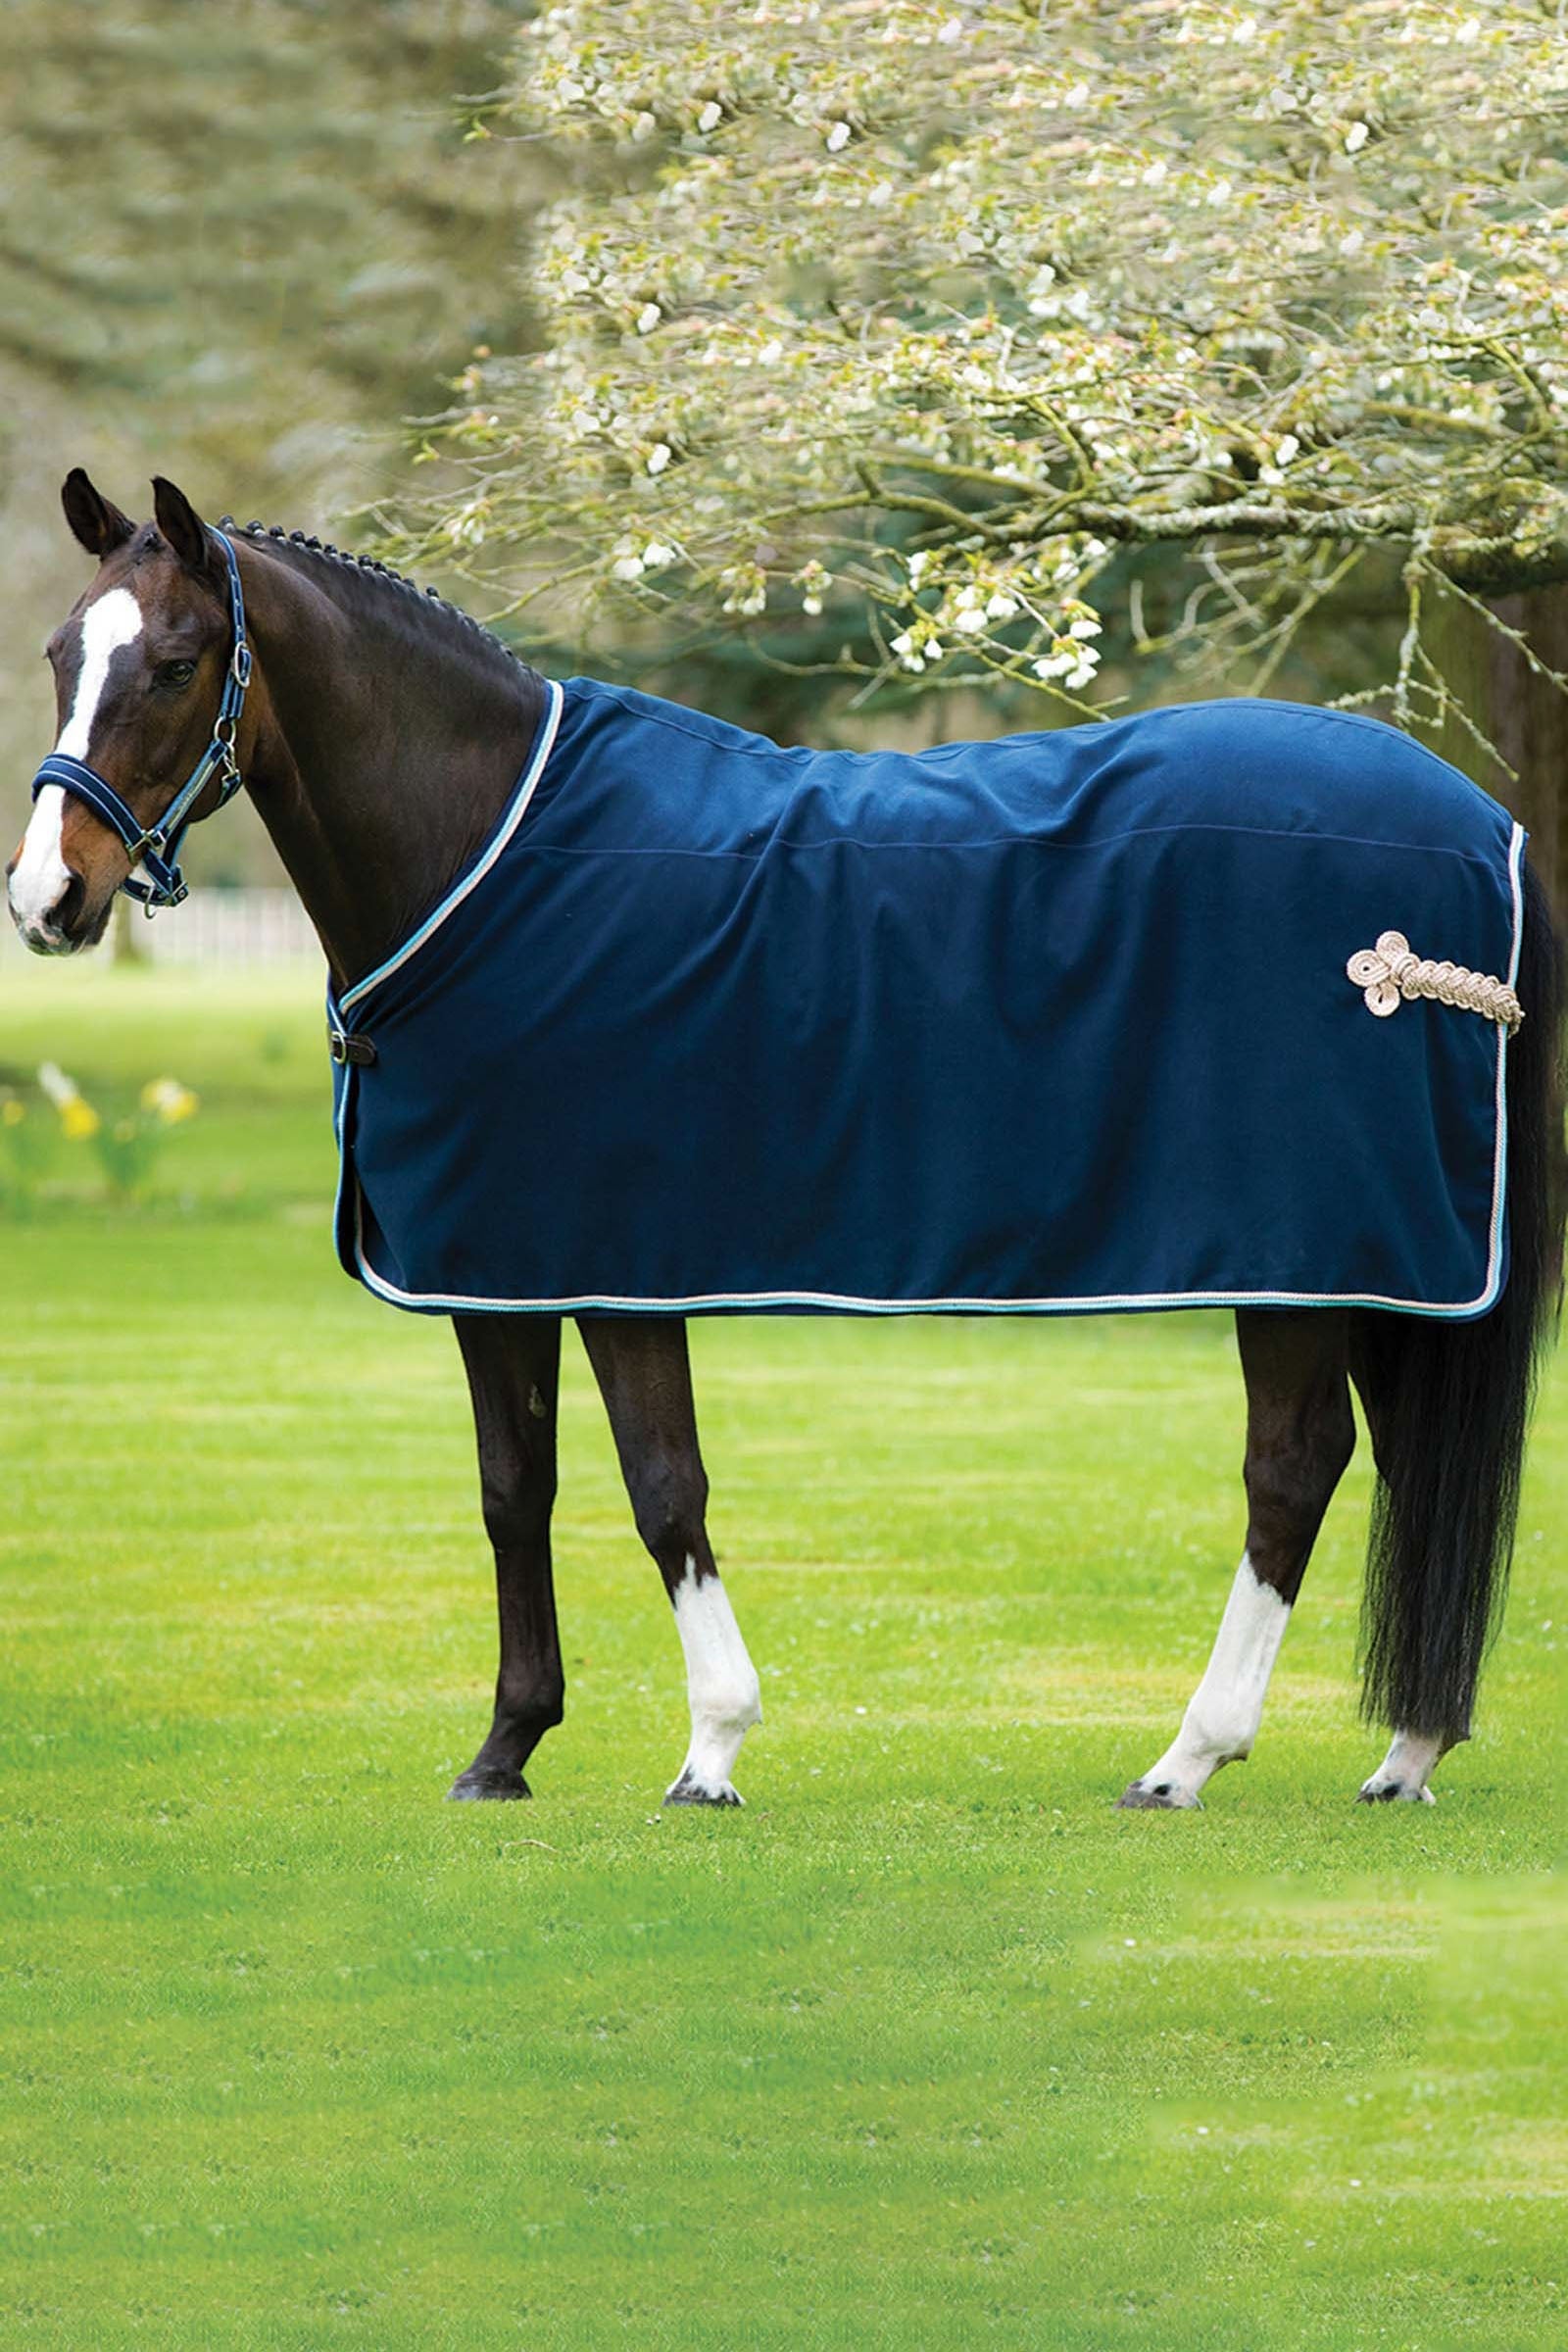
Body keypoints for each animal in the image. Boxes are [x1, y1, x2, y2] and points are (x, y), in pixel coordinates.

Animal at [9, 471, 1562, 1812]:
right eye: (58, 654)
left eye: (175, 663)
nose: (44, 900)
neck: (486, 858)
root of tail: (1482, 822)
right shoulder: (500, 1266)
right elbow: (518, 1491)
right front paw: (507, 1748)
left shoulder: (613, 1260)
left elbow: (662, 1489)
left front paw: (711, 1750)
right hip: (1384, 1264)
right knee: (1397, 1462)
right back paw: (1408, 1750)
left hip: (1304, 1258)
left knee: (1292, 1469)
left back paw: (1188, 1757)